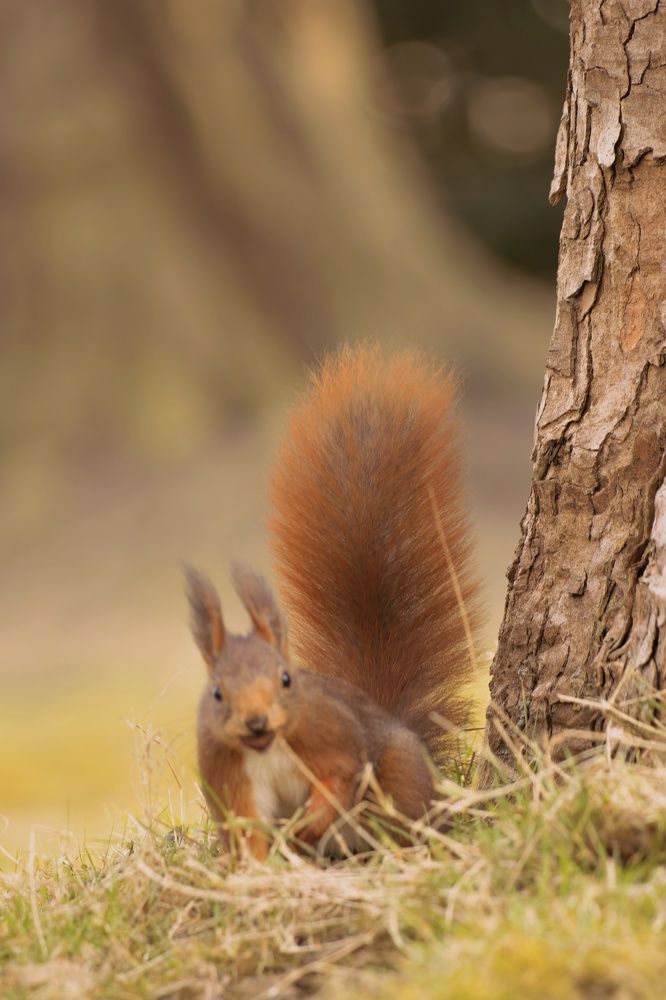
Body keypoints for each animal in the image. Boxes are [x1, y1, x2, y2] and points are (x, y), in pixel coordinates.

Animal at [186, 345, 478, 860]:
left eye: (286, 678)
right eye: (217, 692)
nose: (256, 722)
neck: (267, 748)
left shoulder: (332, 738)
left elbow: (340, 778)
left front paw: (308, 824)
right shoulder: (229, 776)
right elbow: (246, 830)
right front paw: (259, 869)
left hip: (398, 779)